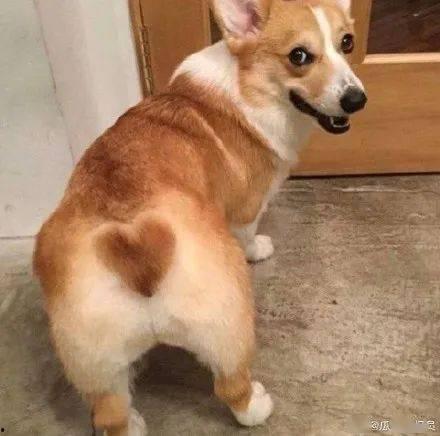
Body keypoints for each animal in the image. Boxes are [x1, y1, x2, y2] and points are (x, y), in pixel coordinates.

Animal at [34, 0, 366, 434]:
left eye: (348, 43)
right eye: (299, 56)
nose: (357, 99)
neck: (246, 84)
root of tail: (135, 244)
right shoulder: (246, 208)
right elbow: (249, 233)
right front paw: (259, 249)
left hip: (93, 361)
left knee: (111, 414)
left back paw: (133, 422)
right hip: (229, 325)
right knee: (230, 386)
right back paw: (257, 406)